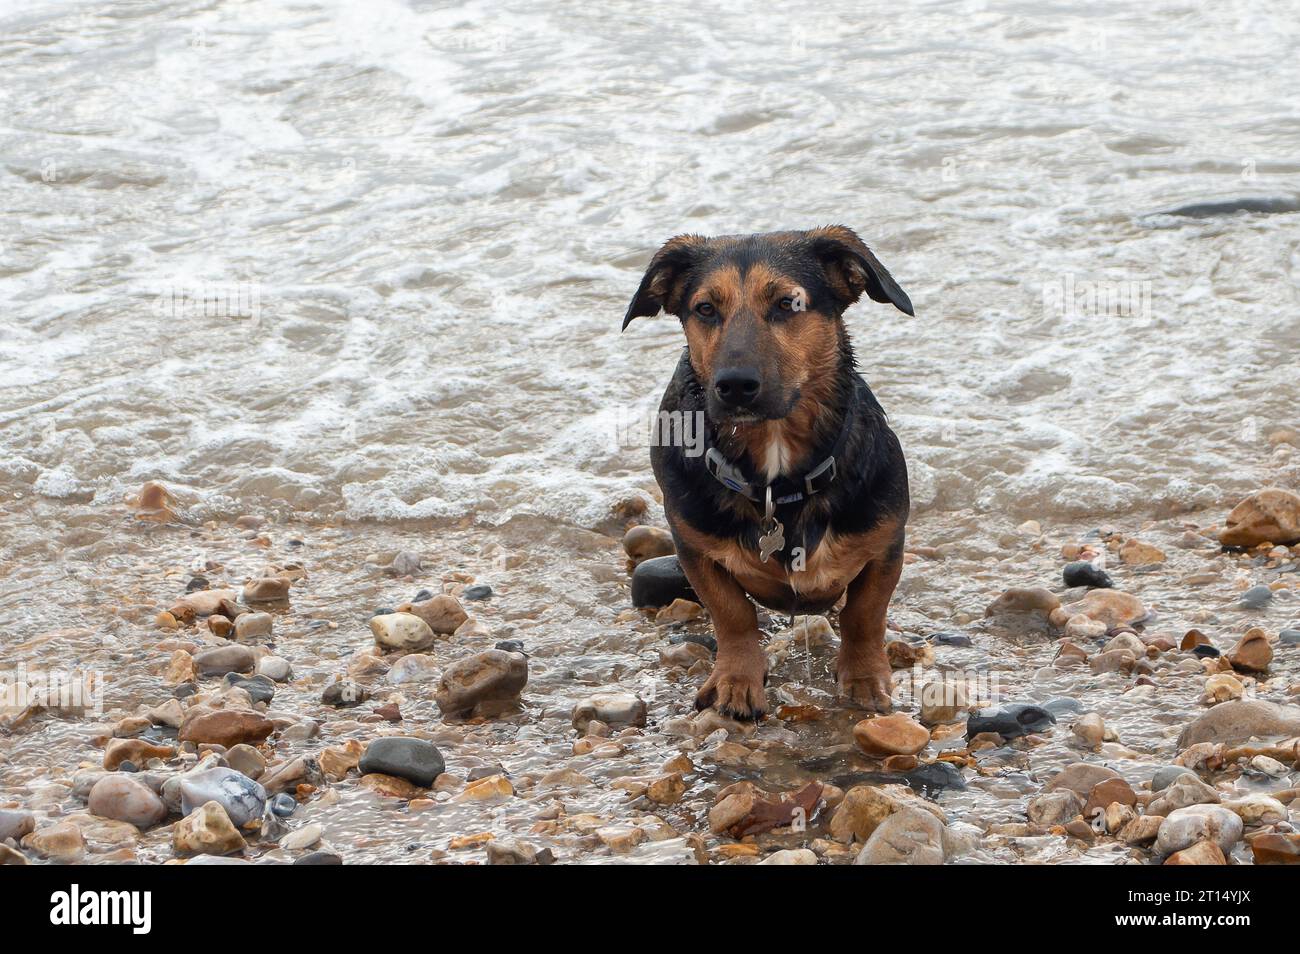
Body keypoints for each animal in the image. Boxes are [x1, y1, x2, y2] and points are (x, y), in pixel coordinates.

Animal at [621, 226, 915, 717]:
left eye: (787, 303)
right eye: (705, 308)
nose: (735, 385)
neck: (777, 481)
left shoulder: (886, 543)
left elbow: (864, 613)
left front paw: (863, 678)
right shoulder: (693, 548)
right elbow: (732, 615)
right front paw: (737, 680)